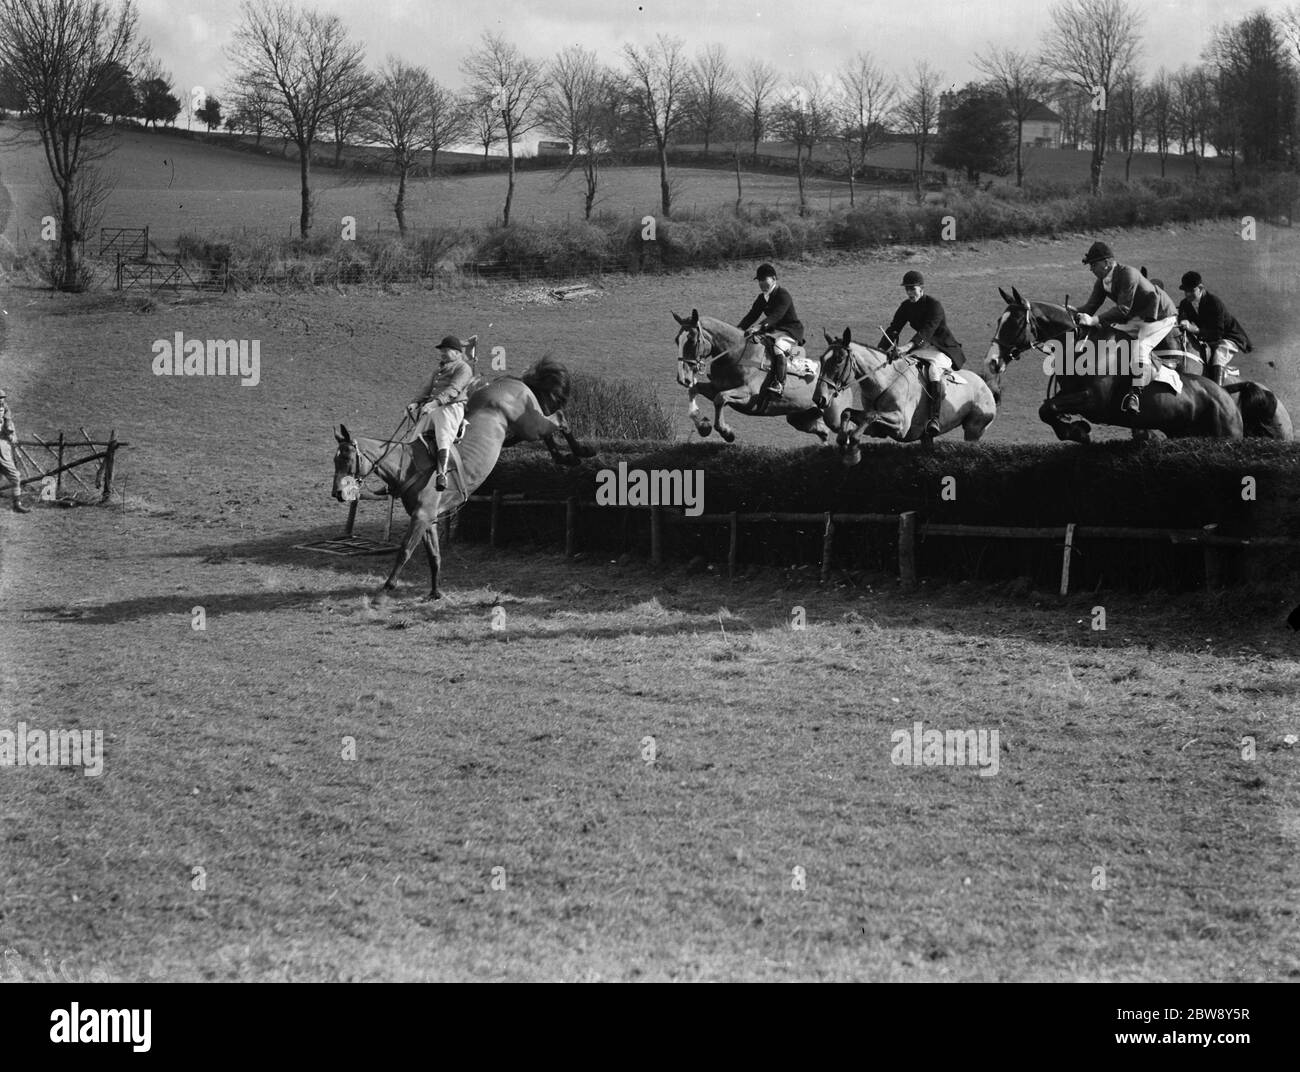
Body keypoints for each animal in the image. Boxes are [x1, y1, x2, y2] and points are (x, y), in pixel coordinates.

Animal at [335, 358, 598, 597]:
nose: (337, 493)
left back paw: (583, 451)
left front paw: (386, 588)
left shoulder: (422, 516)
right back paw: (565, 458)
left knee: (560, 419)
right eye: (334, 460)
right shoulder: (429, 519)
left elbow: (405, 551)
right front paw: (435, 592)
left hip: (530, 423)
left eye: (346, 459)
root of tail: (512, 380)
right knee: (547, 433)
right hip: (522, 429)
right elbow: (434, 555)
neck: (406, 466)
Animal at [676, 309, 837, 444]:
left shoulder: (749, 396)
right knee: (822, 430)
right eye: (677, 340)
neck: (734, 355)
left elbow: (720, 398)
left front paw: (726, 432)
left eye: (692, 340)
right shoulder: (715, 387)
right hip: (798, 416)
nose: (683, 378)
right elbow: (695, 390)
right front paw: (702, 426)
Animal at [806, 323, 998, 462]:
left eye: (839, 360)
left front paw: (853, 453)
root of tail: (984, 384)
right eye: (822, 359)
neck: (883, 381)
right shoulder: (875, 428)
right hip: (927, 438)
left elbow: (870, 416)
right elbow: (848, 413)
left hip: (974, 429)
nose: (819, 399)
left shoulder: (900, 426)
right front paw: (843, 442)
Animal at [982, 285, 1248, 441]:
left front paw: (1077, 431)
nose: (992, 361)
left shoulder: (1094, 400)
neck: (1080, 349)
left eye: (1015, 323)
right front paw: (1076, 430)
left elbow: (1049, 408)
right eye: (998, 320)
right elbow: (1046, 410)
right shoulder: (1070, 396)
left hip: (1226, 433)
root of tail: (1225, 395)